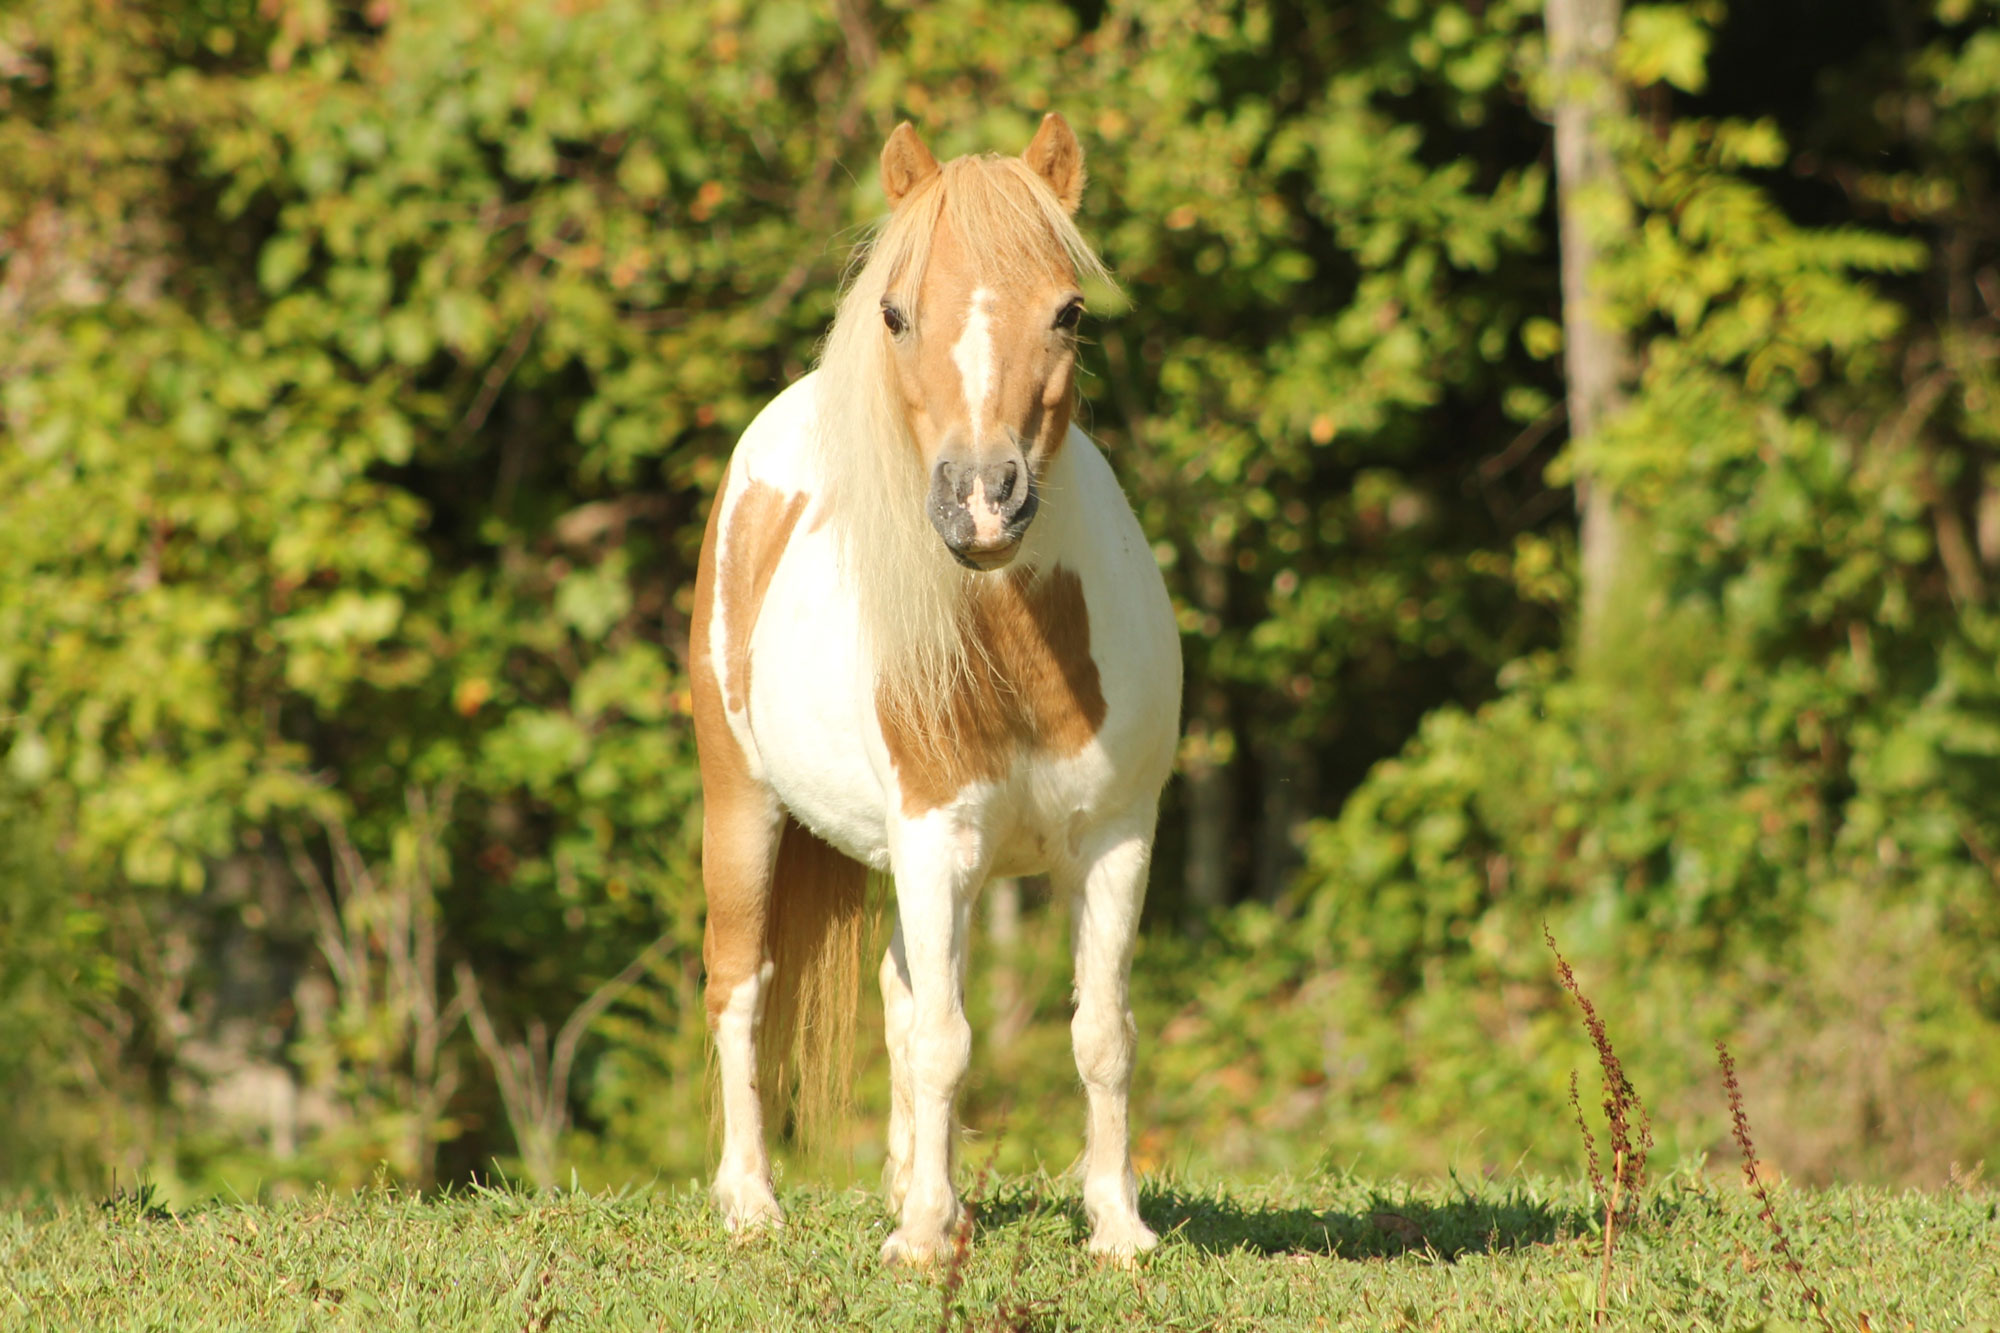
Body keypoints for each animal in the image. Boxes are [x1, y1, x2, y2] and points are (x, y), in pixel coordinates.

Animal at [689, 112, 1181, 1265]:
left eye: (1068, 310)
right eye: (897, 312)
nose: (983, 502)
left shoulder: (1117, 841)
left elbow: (1099, 1032)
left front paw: (1117, 1226)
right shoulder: (934, 837)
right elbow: (946, 1041)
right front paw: (917, 1242)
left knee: (897, 996)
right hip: (743, 804)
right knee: (742, 985)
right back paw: (751, 1201)